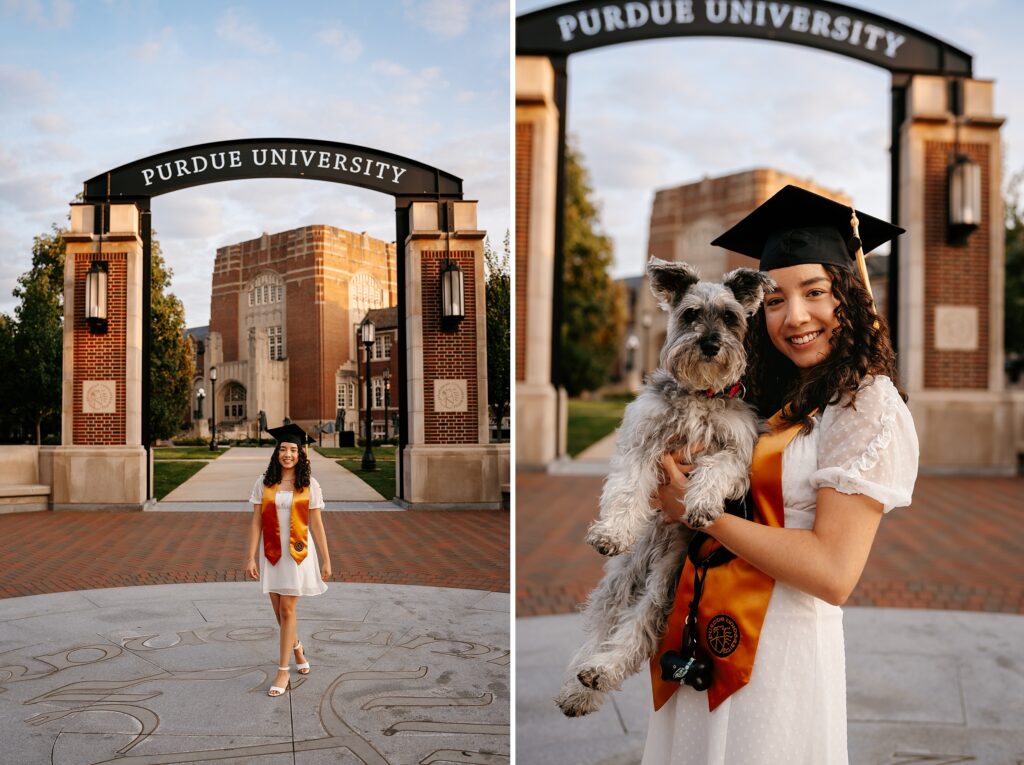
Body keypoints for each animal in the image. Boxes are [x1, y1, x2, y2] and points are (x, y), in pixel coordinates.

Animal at [557, 257, 770, 716]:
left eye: (730, 318)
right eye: (690, 314)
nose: (710, 344)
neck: (700, 393)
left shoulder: (734, 452)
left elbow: (713, 471)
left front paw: (701, 505)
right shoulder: (642, 439)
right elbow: (626, 487)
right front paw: (612, 531)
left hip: (667, 583)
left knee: (638, 630)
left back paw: (599, 672)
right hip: (620, 583)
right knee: (598, 630)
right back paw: (580, 685)